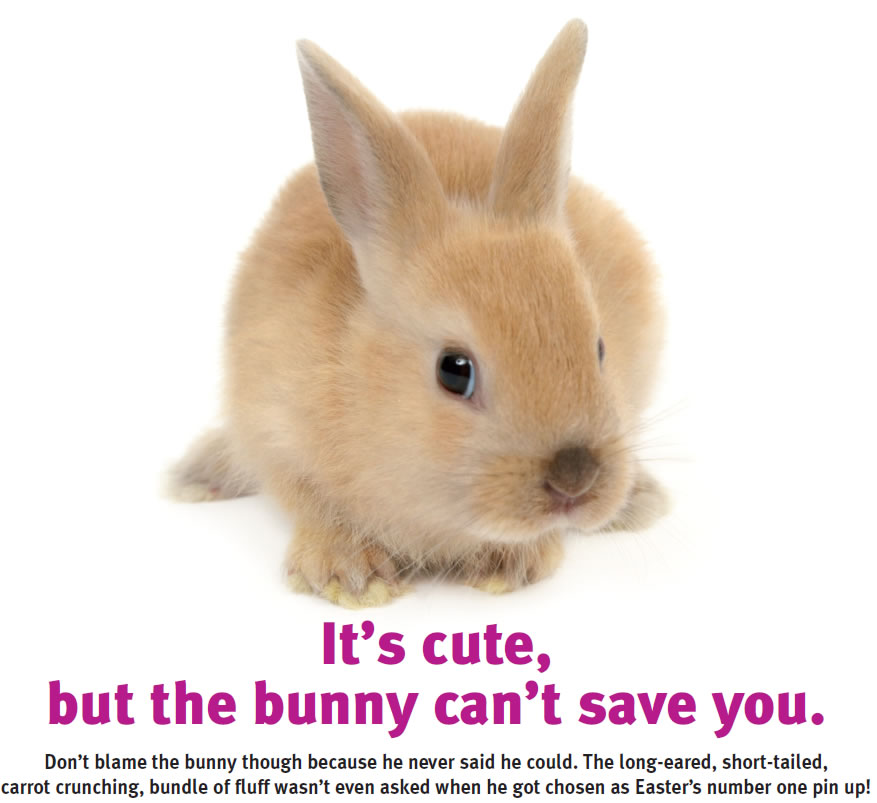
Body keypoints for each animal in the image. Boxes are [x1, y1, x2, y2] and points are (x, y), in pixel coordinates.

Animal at [169, 19, 668, 608]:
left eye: (599, 348)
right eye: (454, 370)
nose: (576, 480)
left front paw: (509, 565)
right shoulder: (273, 425)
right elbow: (311, 502)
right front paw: (351, 577)